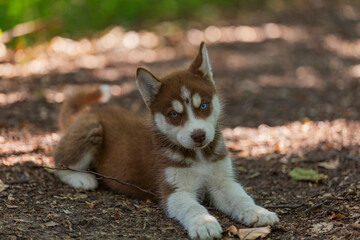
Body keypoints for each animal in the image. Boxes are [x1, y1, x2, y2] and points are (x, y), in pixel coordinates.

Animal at [54, 42, 278, 238]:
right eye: (174, 114)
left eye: (203, 106)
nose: (198, 135)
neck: (199, 157)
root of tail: (84, 113)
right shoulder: (174, 191)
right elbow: (193, 207)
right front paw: (204, 224)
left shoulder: (222, 182)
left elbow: (241, 197)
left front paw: (258, 212)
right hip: (92, 130)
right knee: (58, 165)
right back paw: (82, 178)